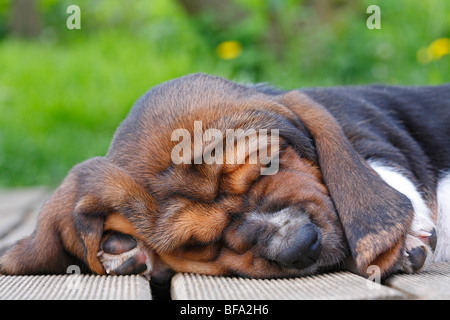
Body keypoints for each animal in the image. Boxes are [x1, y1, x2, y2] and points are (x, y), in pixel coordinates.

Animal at [0, 74, 450, 284]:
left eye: (270, 163)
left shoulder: (365, 136)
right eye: (197, 244)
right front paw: (121, 248)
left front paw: (407, 235)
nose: (298, 246)